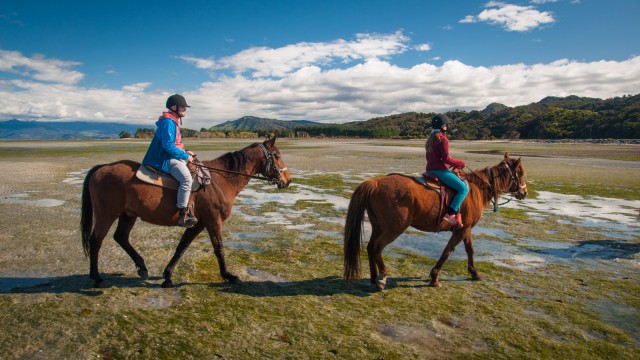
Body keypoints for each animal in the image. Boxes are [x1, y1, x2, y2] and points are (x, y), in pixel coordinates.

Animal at [81, 136, 292, 288]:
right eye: (277, 155)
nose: (288, 180)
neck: (221, 180)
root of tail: (102, 168)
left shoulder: (199, 222)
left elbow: (182, 247)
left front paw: (167, 276)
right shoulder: (213, 220)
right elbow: (219, 248)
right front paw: (229, 276)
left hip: (128, 215)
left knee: (121, 237)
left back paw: (141, 267)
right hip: (107, 214)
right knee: (96, 240)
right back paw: (97, 277)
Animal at [342, 152, 528, 290]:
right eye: (520, 174)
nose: (524, 193)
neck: (476, 189)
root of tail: (374, 182)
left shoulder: (466, 228)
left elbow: (470, 250)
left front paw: (474, 273)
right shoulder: (461, 230)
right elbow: (448, 251)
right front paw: (434, 277)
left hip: (378, 227)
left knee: (370, 247)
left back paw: (374, 278)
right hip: (393, 229)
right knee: (377, 248)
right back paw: (382, 277)